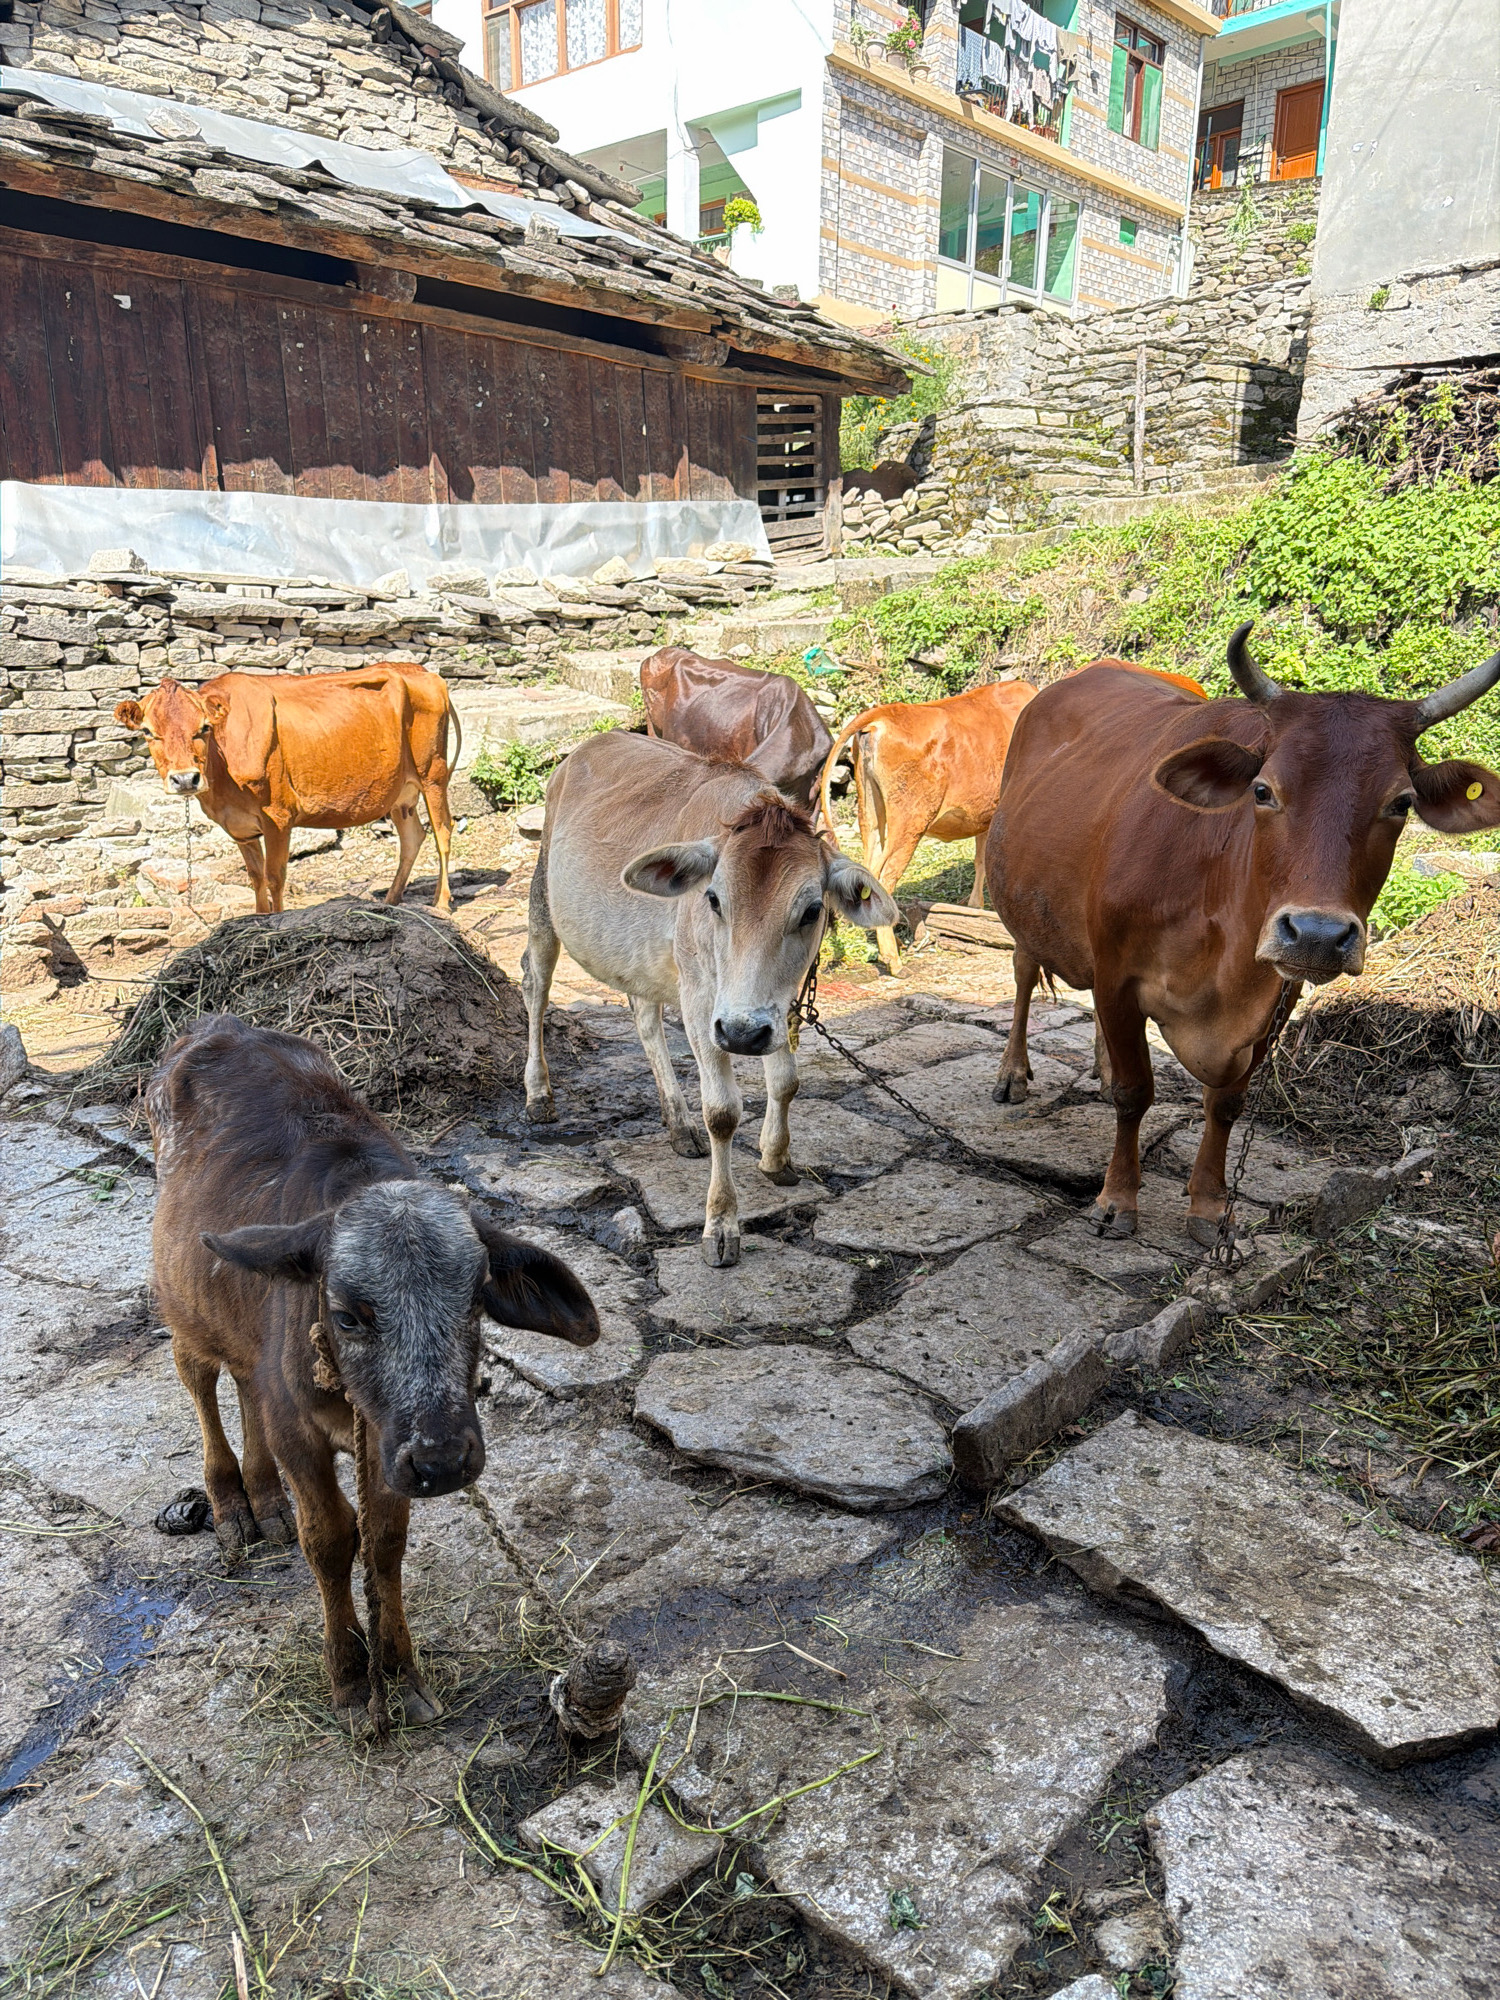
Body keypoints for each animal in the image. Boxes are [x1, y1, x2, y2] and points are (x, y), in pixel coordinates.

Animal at [115, 664, 459, 915]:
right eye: (148, 732)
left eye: (204, 727)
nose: (186, 779)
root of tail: (424, 672)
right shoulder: (240, 827)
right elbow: (254, 876)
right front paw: (259, 917)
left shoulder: (277, 816)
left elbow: (274, 876)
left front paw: (277, 919)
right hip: (401, 792)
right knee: (413, 837)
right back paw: (391, 899)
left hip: (433, 773)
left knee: (443, 831)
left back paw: (441, 902)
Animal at [148, 1014, 598, 1720]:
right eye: (348, 1316)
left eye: (476, 1297)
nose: (444, 1459)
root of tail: (216, 1024)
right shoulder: (303, 1434)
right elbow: (332, 1541)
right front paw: (352, 1677)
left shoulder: (388, 1445)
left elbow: (384, 1541)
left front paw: (399, 1669)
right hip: (185, 1309)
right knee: (201, 1380)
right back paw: (230, 1503)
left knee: (247, 1384)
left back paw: (265, 1499)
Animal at [521, 731, 897, 1266]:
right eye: (714, 899)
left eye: (811, 910)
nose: (740, 1033)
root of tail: (588, 746)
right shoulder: (703, 1002)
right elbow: (722, 1112)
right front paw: (721, 1224)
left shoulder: (773, 1005)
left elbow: (786, 1081)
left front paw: (775, 1158)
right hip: (543, 900)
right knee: (536, 985)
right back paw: (538, 1093)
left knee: (644, 1017)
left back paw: (678, 1124)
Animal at [818, 679, 1038, 974]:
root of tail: (884, 713)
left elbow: (981, 860)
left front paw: (976, 908)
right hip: (910, 821)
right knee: (885, 878)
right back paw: (894, 960)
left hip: (871, 816)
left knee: (868, 873)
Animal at [985, 625, 1500, 1246]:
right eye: (1262, 790)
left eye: (1402, 803)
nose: (1317, 934)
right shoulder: (1117, 976)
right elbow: (1136, 1093)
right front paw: (1116, 1199)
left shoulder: (1277, 1000)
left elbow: (1226, 1104)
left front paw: (1208, 1205)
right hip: (1020, 907)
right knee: (1022, 974)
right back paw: (1012, 1073)